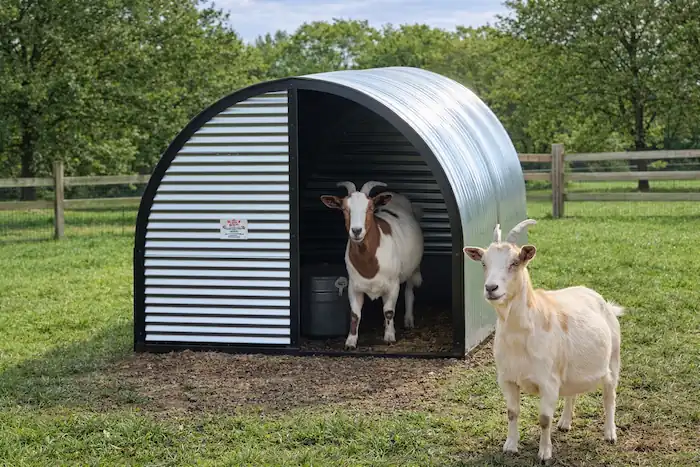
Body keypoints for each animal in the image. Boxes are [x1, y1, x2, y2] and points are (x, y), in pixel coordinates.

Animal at [320, 180, 424, 349]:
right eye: (344, 209)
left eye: (369, 208)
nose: (356, 231)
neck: (369, 264)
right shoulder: (354, 286)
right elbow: (355, 314)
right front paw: (350, 342)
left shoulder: (393, 284)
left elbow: (389, 311)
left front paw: (389, 337)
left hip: (412, 269)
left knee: (409, 291)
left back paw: (408, 320)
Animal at [463, 220, 624, 463]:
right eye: (483, 262)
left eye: (515, 262)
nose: (491, 288)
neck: (520, 336)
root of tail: (602, 301)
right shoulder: (507, 379)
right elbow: (512, 412)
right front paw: (510, 446)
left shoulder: (548, 382)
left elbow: (544, 419)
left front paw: (545, 453)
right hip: (571, 368)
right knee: (572, 393)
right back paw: (565, 423)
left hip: (613, 359)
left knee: (610, 395)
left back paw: (610, 433)